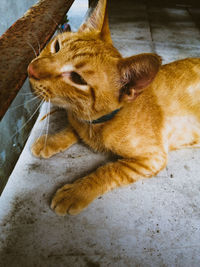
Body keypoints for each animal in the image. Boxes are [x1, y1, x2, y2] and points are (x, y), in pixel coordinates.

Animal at [27, 0, 200, 216]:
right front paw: (50, 141)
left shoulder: (153, 158)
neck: (99, 123)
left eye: (77, 79)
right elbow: (73, 128)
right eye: (56, 46)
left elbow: (109, 170)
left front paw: (77, 191)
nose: (30, 69)